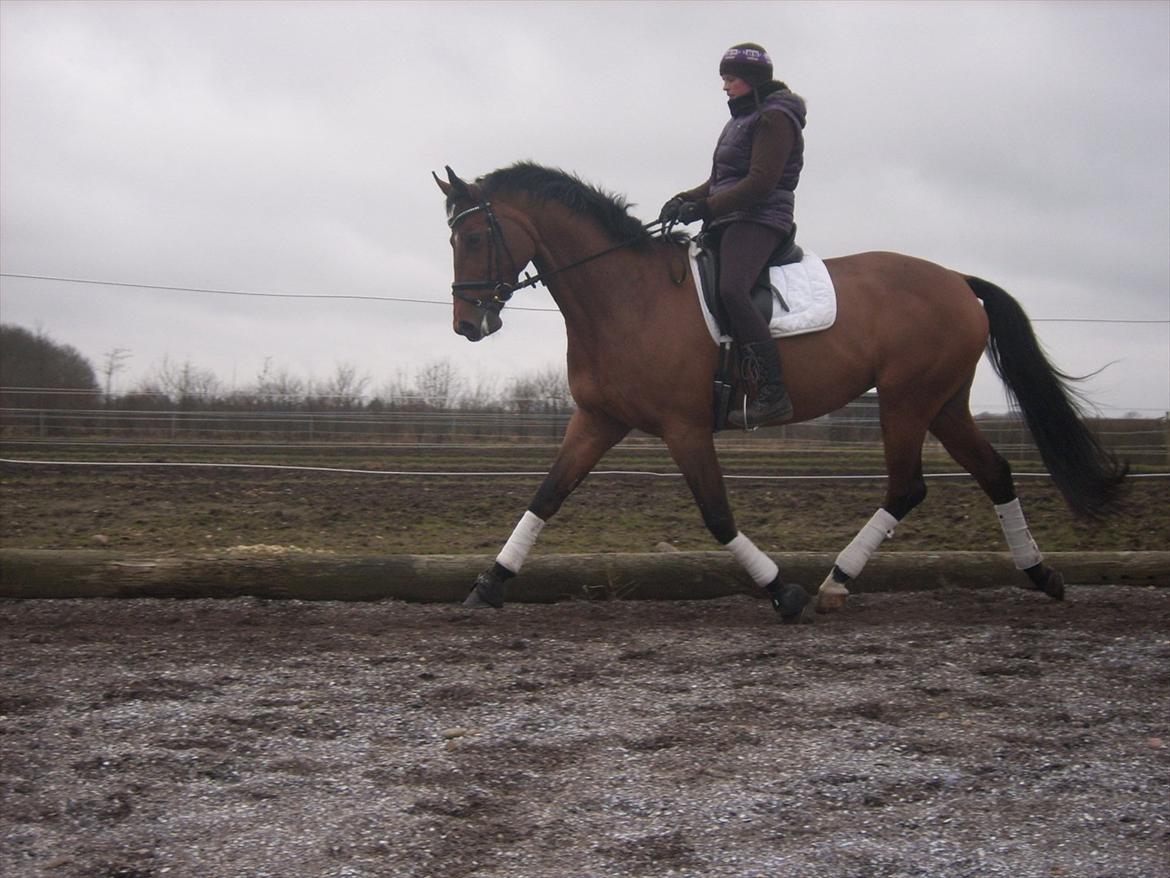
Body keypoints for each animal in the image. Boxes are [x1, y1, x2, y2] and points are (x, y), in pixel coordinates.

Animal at [432, 161, 1123, 622]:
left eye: (474, 238)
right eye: (453, 238)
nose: (467, 325)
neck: (624, 297)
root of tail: (957, 279)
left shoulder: (684, 428)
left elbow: (716, 515)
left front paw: (781, 592)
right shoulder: (597, 419)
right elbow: (547, 495)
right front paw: (489, 584)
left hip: (906, 401)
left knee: (908, 488)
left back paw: (835, 582)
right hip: (944, 404)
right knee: (995, 473)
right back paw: (1042, 574)